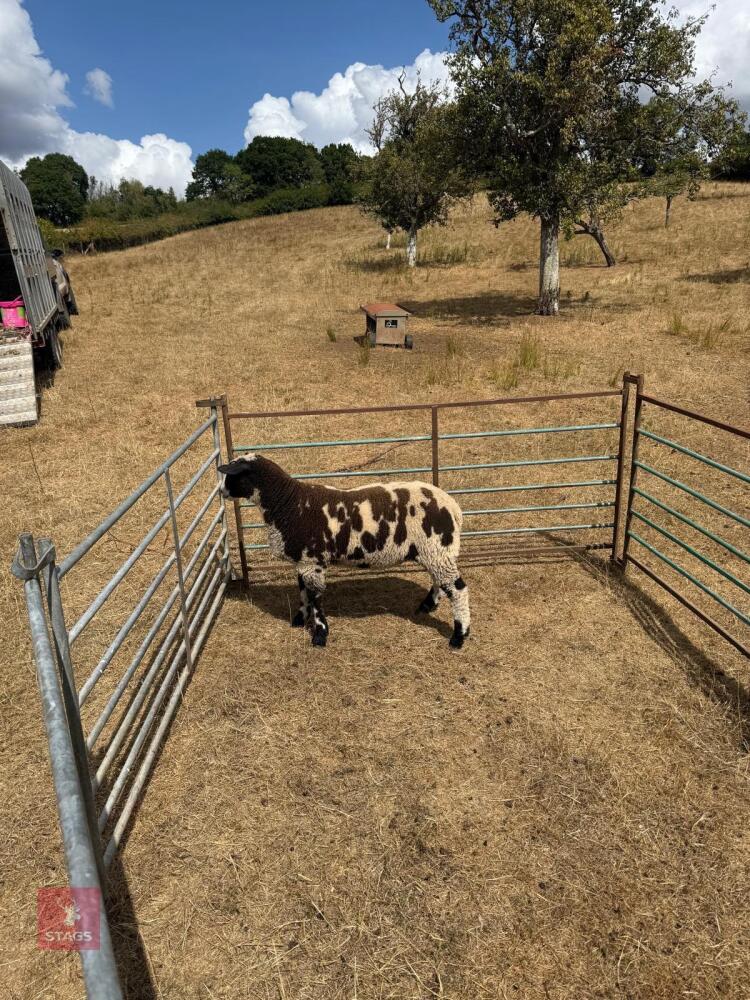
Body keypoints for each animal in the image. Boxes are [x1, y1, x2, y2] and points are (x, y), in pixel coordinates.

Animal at [218, 454, 470, 649]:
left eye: (231, 475)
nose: (221, 491)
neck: (288, 504)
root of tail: (453, 507)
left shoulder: (312, 561)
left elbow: (315, 598)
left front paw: (319, 635)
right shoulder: (304, 560)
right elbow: (303, 592)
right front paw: (299, 619)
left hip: (437, 547)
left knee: (457, 589)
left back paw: (459, 636)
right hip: (435, 551)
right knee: (440, 581)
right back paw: (427, 606)